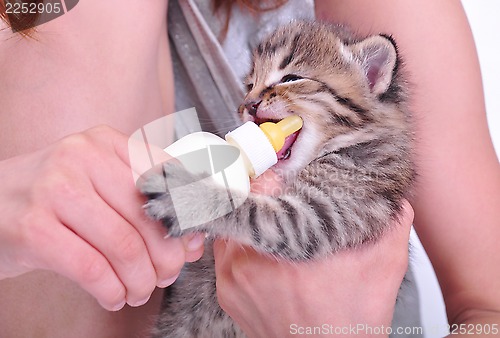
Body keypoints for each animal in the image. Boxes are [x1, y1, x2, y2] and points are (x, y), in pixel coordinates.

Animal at [140, 21, 414, 338]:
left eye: (291, 78)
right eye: (249, 85)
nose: (248, 104)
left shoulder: (327, 211)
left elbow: (254, 212)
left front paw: (187, 197)